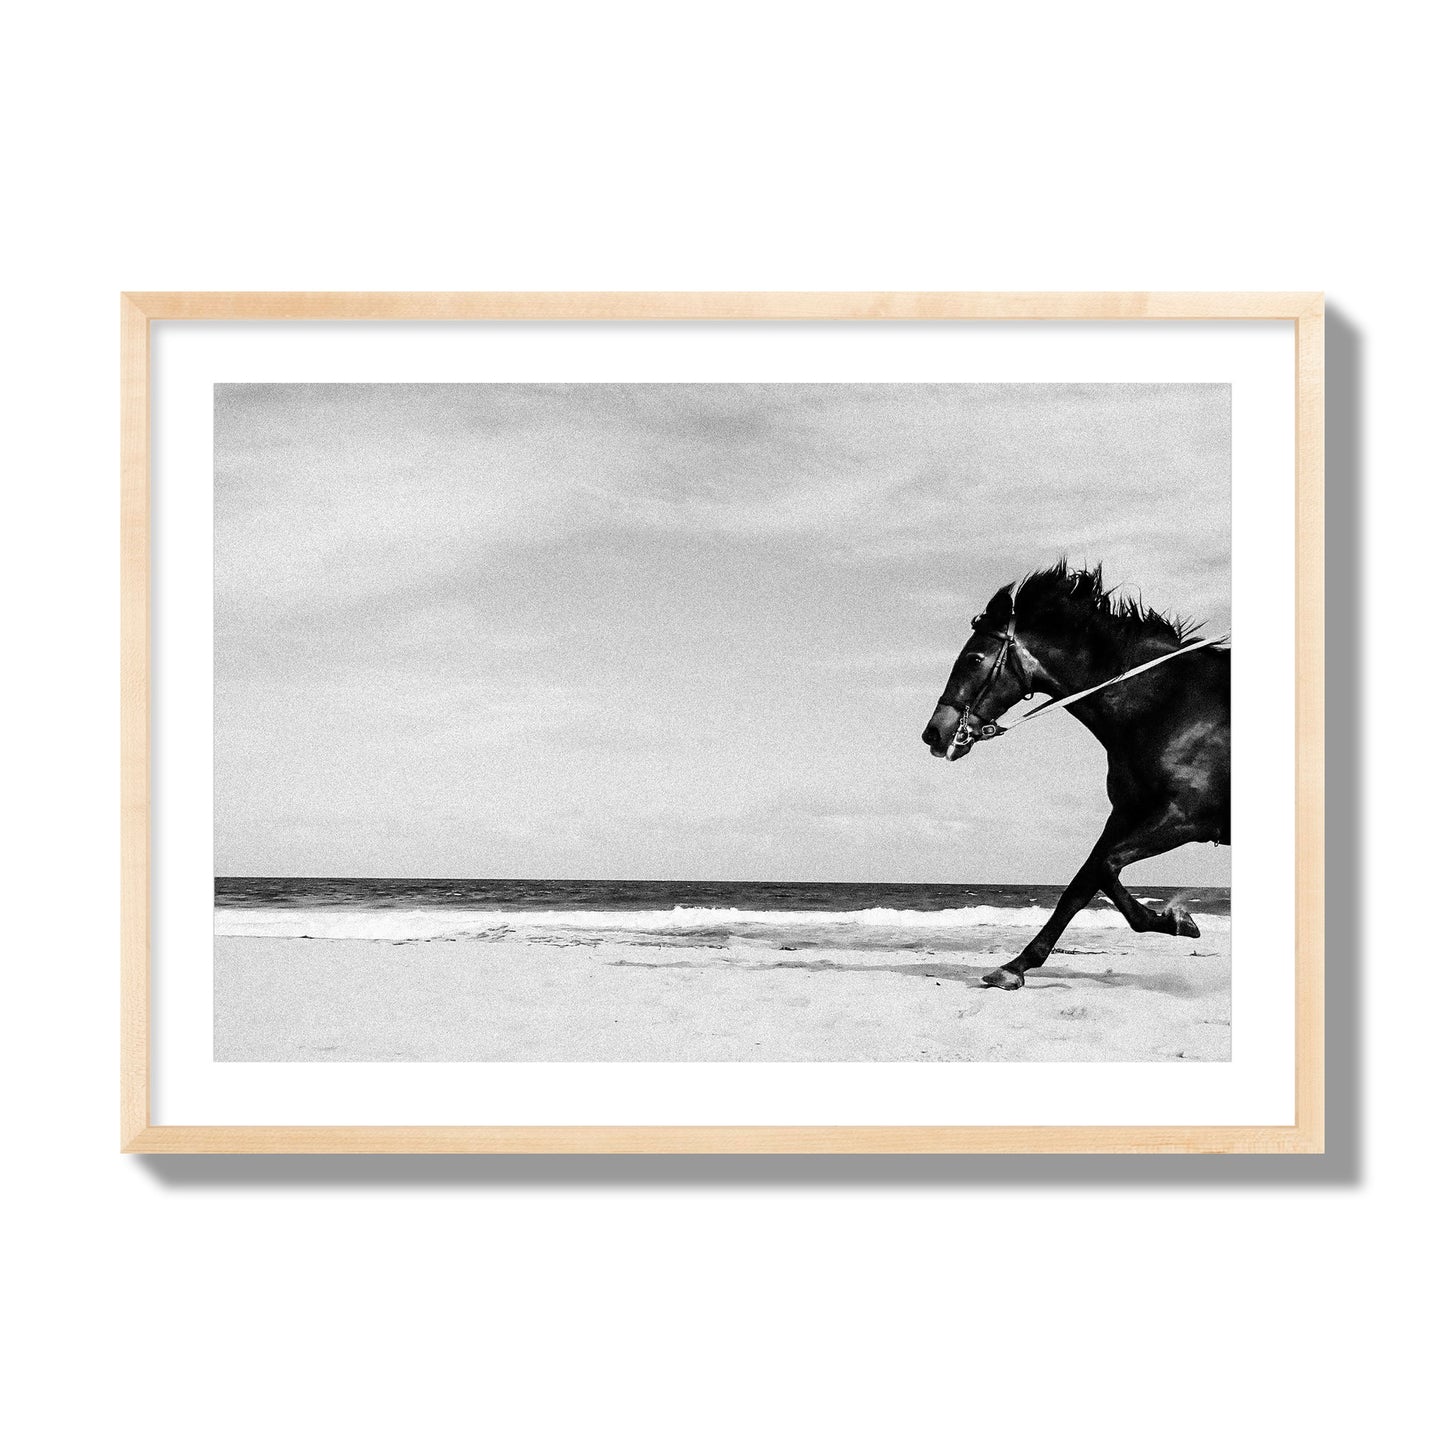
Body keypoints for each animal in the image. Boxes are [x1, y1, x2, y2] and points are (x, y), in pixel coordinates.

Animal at [921, 562, 1230, 990]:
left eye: (974, 658)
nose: (934, 733)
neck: (1169, 705)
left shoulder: (1185, 817)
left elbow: (1103, 868)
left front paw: (1175, 919)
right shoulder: (1127, 813)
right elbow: (1084, 882)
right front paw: (1015, 965)